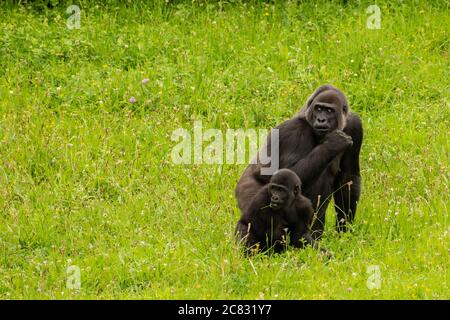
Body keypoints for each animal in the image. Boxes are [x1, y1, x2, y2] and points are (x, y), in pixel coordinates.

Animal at [236, 85, 362, 240]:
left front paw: (344, 231)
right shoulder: (296, 130)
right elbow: (286, 174)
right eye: (318, 108)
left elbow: (348, 178)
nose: (321, 119)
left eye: (329, 111)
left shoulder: (355, 126)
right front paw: (331, 145)